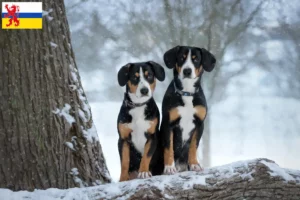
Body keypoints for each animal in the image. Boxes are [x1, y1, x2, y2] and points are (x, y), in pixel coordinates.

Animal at [162, 46, 216, 174]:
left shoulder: (200, 124)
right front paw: (169, 167)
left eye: (195, 59)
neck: (187, 92)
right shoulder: (168, 123)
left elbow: (193, 146)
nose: (187, 71)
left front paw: (194, 164)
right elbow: (169, 147)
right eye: (182, 58)